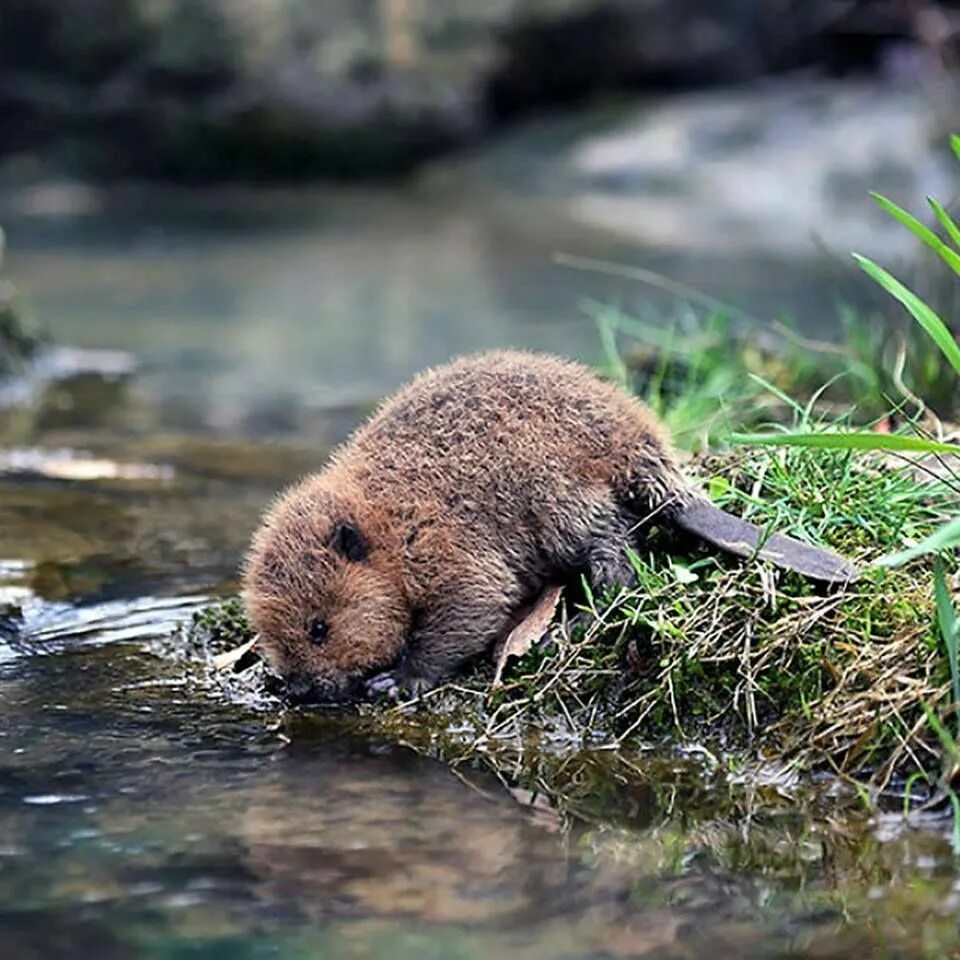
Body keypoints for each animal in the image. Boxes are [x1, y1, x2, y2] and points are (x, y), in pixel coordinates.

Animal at [244, 348, 860, 700]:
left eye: (319, 627)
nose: (298, 691)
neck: (388, 518)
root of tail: (651, 457)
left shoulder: (445, 543)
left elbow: (473, 605)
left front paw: (395, 681)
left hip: (561, 500)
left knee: (617, 558)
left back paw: (578, 620)